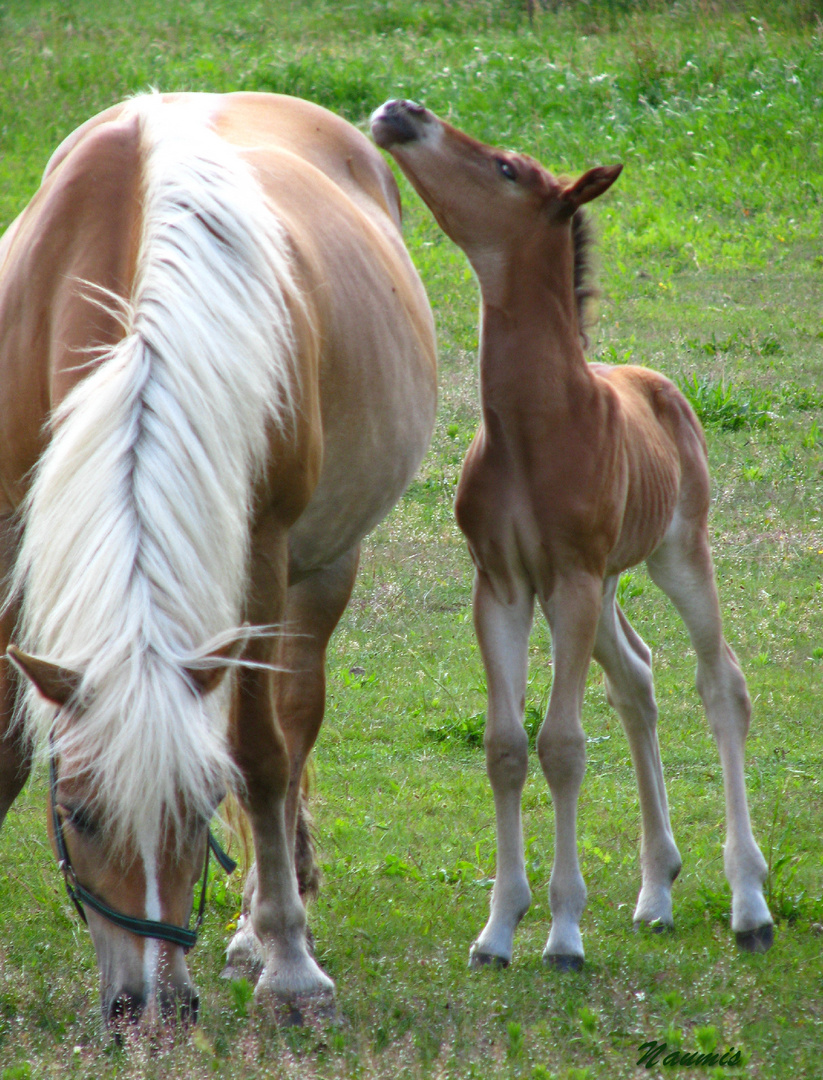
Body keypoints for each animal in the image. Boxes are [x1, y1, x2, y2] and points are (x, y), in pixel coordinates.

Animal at [0, 90, 436, 1019]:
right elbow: (10, 748)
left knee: (294, 722)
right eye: (80, 813)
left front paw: (289, 962)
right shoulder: (18, 533)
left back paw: (262, 923)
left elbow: (260, 757)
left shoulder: (262, 557)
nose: (154, 1009)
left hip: (319, 568)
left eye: (197, 811)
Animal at [371, 99, 768, 972]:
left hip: (675, 555)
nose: (400, 112)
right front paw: (497, 930)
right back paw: (656, 892)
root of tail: (661, 387)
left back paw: (747, 901)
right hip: (604, 584)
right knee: (637, 678)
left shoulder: (572, 581)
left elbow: (561, 745)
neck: (534, 427)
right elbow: (505, 747)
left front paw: (561, 932)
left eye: (506, 167)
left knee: (718, 683)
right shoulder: (504, 586)